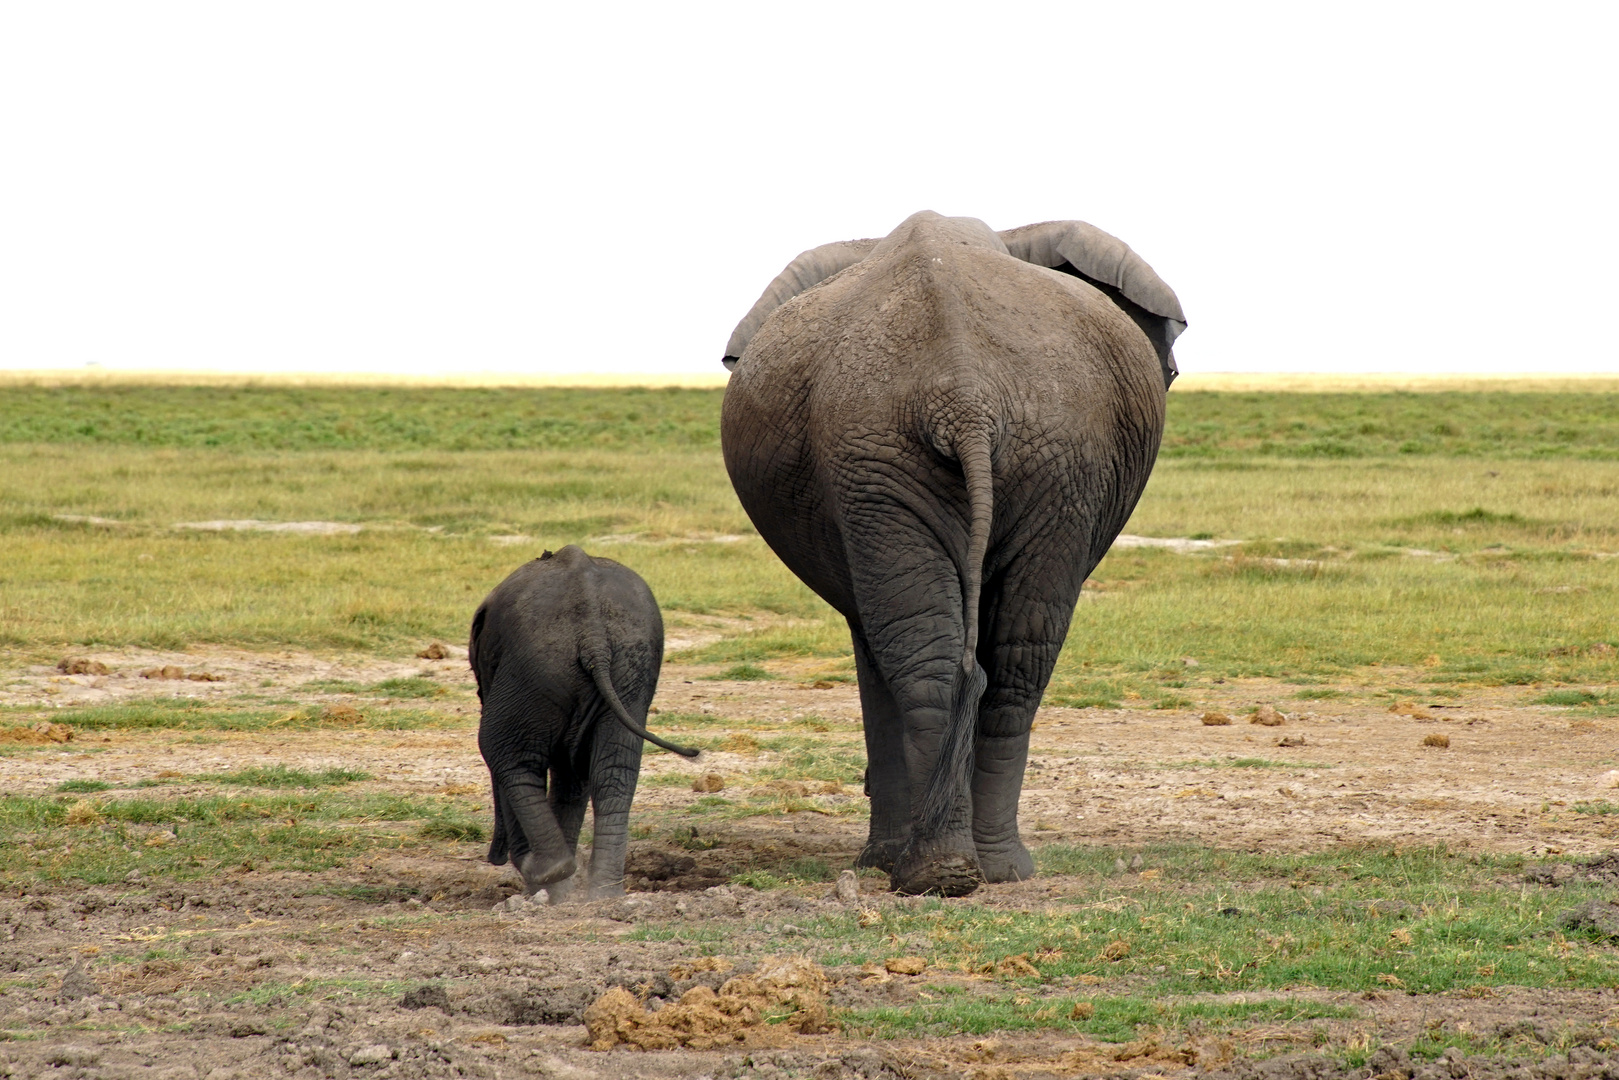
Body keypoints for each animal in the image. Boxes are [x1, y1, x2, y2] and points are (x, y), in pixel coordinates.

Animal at [469, 540, 696, 906]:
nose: (495, 856)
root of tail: (593, 633)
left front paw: (548, 891)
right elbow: (574, 777)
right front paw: (561, 895)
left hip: (535, 667)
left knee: (504, 752)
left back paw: (548, 871)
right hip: (629, 670)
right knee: (612, 773)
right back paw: (602, 893)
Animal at [728, 208, 1185, 893]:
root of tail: (963, 396)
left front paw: (880, 863)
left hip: (993, 455)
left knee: (967, 658)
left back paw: (954, 870)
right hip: (941, 458)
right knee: (1004, 658)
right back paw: (962, 869)